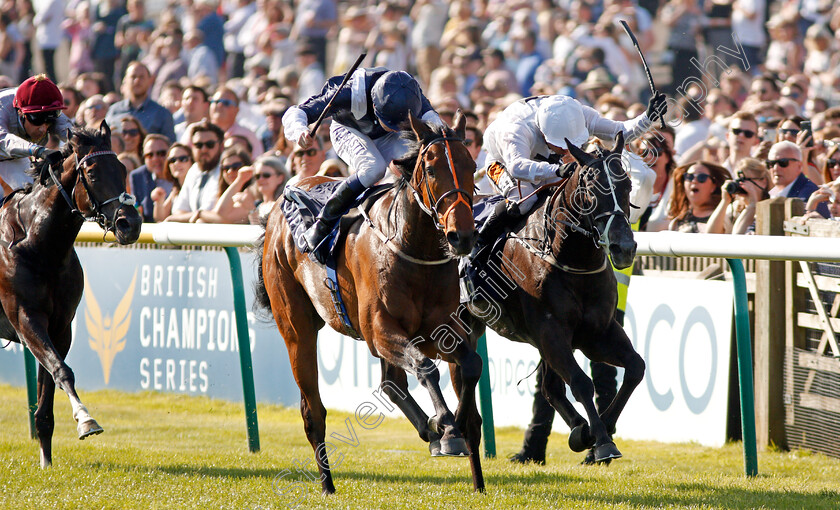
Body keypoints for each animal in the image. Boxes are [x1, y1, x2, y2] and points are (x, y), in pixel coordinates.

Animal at [0, 120, 141, 466]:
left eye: (122, 168)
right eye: (91, 173)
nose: (130, 223)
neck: (40, 245)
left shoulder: (60, 326)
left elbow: (50, 382)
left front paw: (46, 461)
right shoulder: (25, 317)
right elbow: (62, 371)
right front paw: (86, 420)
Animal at [256, 111, 486, 494]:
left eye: (471, 165)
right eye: (431, 168)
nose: (462, 235)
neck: (410, 245)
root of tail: (278, 204)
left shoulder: (443, 328)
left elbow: (470, 364)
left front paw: (455, 424)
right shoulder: (379, 329)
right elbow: (426, 367)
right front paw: (447, 426)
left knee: (392, 382)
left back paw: (431, 431)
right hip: (296, 328)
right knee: (313, 412)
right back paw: (327, 485)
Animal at [456, 131, 648, 462]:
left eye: (626, 184)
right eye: (592, 188)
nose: (624, 247)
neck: (571, 258)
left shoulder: (596, 332)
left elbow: (635, 368)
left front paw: (595, 431)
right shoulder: (551, 332)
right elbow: (581, 383)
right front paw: (601, 440)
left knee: (549, 388)